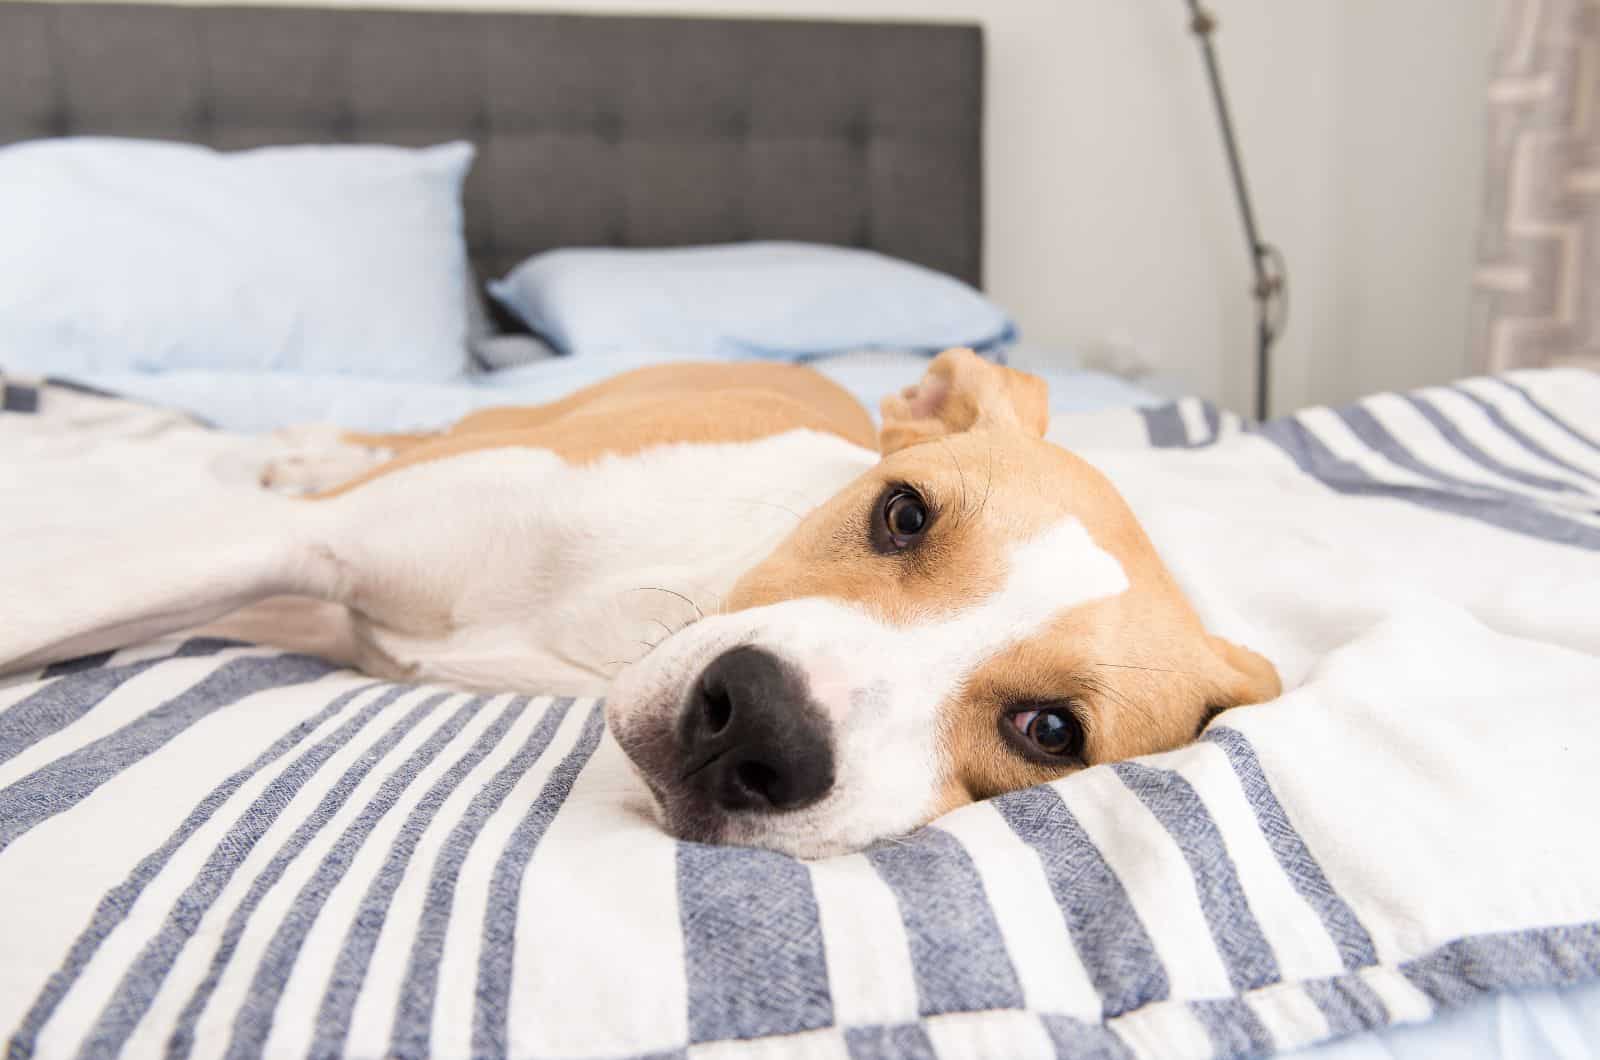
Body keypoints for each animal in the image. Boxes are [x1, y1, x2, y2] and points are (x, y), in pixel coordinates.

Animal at [0, 352, 1273, 858]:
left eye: (1049, 730)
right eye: (905, 513)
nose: (758, 726)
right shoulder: (304, 542)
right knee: (407, 435)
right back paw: (308, 444)